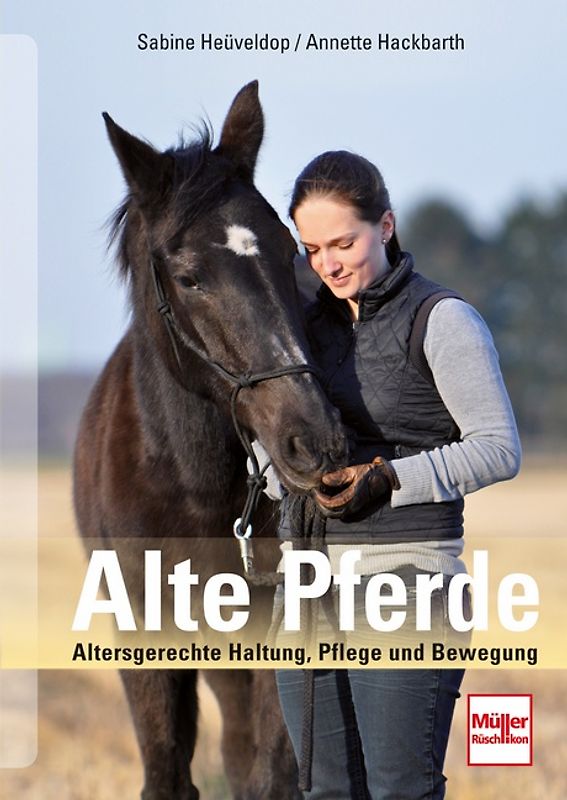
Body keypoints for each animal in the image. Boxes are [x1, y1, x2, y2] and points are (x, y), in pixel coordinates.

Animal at [73, 81, 347, 800]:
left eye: (289, 250)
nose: (314, 440)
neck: (193, 486)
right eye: (190, 275)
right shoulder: (145, 631)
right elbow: (167, 770)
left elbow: (272, 772)